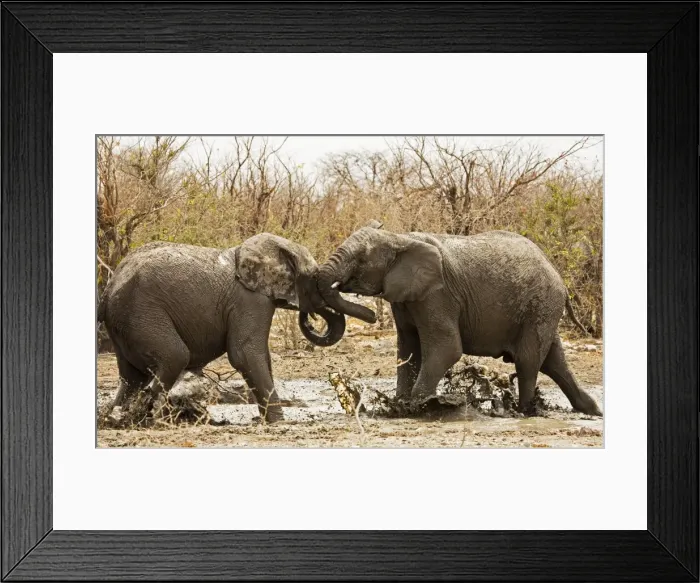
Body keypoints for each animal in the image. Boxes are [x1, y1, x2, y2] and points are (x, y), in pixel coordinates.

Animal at [98, 233, 343, 422]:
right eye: (314, 277)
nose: (309, 317)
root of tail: (109, 289)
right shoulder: (250, 301)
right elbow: (245, 355)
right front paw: (280, 422)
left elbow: (262, 357)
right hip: (141, 312)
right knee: (175, 356)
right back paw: (148, 418)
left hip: (125, 322)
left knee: (132, 376)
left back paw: (119, 417)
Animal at [312, 222, 602, 416]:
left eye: (361, 259)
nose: (371, 316)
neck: (399, 237)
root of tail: (558, 276)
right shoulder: (407, 296)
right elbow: (408, 349)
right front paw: (400, 405)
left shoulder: (437, 294)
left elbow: (446, 348)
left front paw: (418, 407)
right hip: (542, 310)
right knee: (554, 361)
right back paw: (591, 411)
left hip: (540, 306)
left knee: (529, 361)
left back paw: (523, 412)